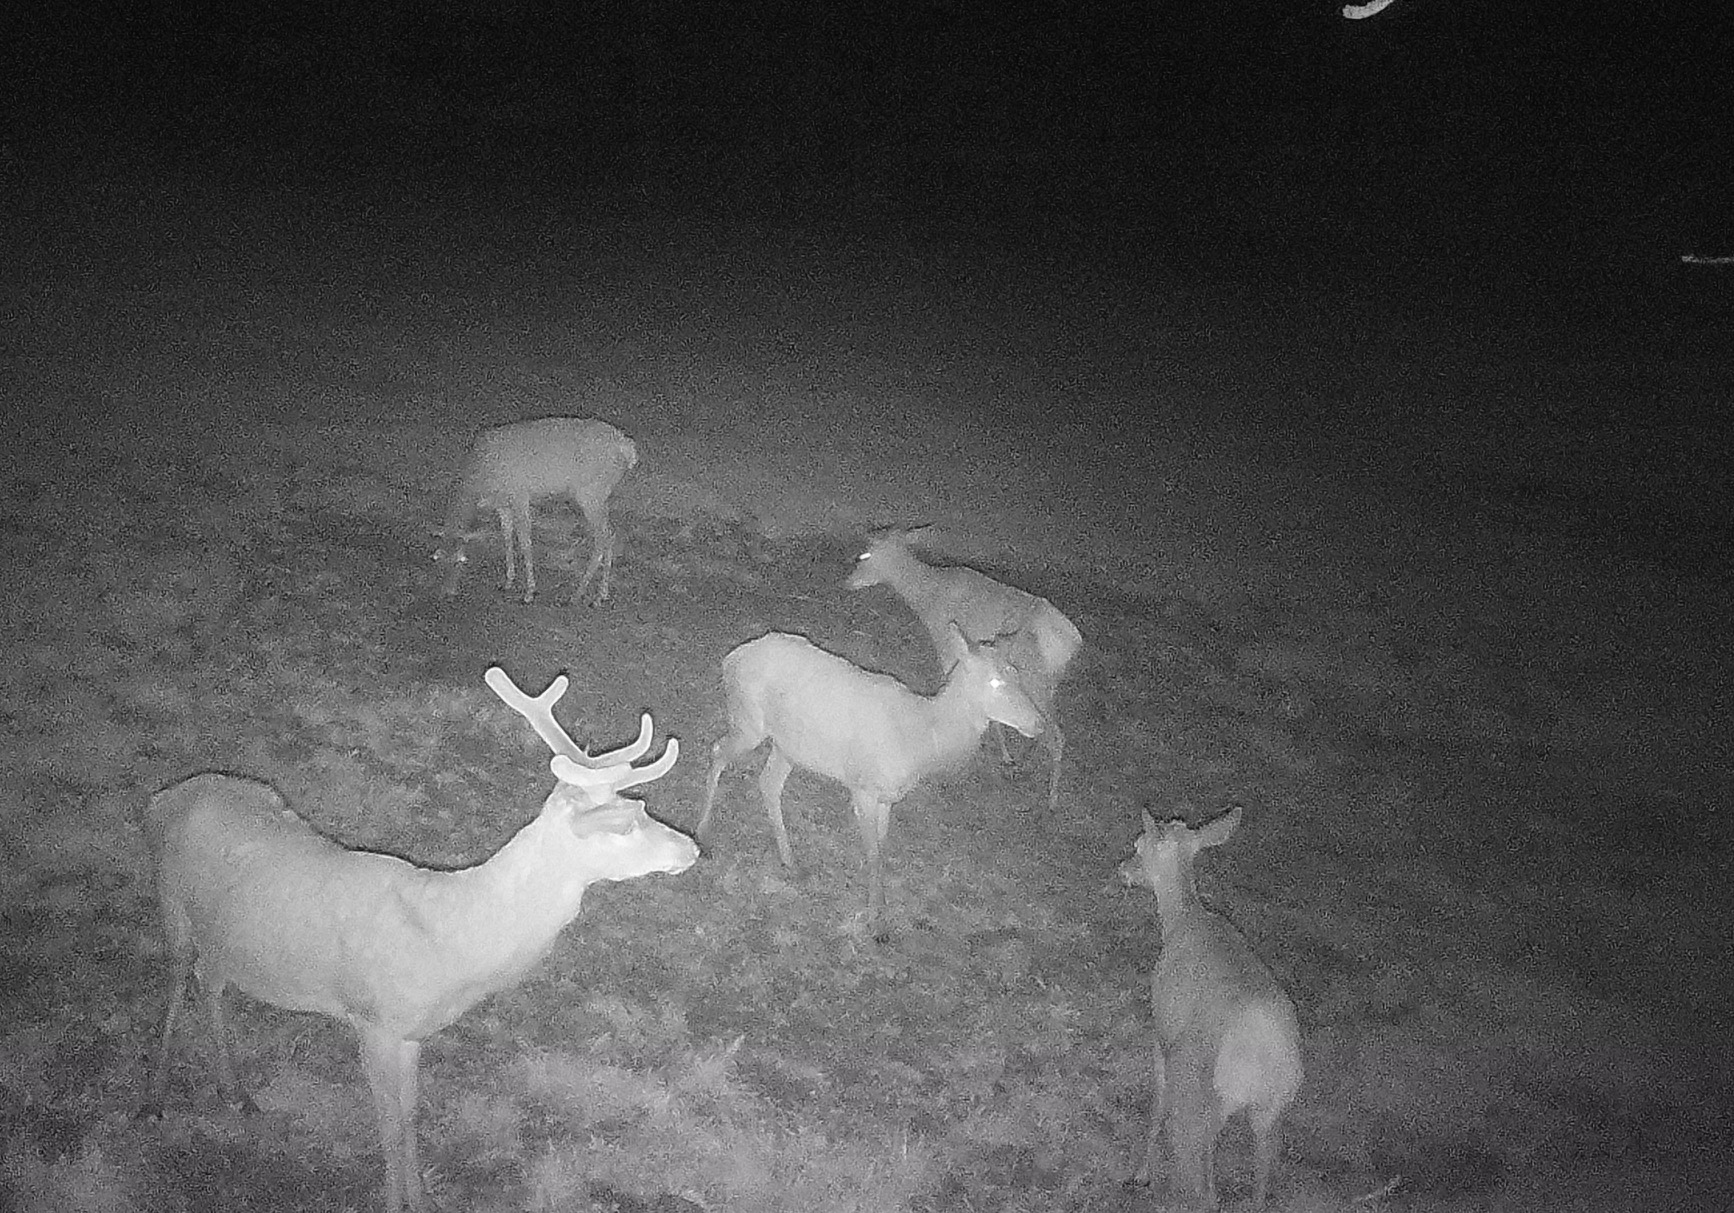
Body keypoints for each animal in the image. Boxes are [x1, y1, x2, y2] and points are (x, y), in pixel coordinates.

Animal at [139, 667, 694, 1213]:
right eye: (626, 822)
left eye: (641, 806)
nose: (691, 847)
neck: (447, 943)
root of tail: (165, 796)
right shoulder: (373, 1020)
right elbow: (389, 1128)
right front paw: (393, 1199)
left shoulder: (411, 1034)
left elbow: (409, 1120)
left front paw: (420, 1199)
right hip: (172, 902)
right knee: (177, 981)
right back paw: (155, 1099)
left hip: (225, 936)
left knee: (209, 982)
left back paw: (235, 1093)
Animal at [433, 417, 638, 607]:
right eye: (439, 562)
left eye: (460, 562)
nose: (447, 592)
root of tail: (628, 448)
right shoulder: (503, 504)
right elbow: (506, 537)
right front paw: (508, 581)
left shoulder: (520, 495)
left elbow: (525, 542)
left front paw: (529, 592)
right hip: (601, 495)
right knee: (610, 534)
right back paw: (601, 594)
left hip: (590, 492)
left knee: (602, 537)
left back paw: (581, 594)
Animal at [697, 626, 1044, 932]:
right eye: (995, 681)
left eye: (1017, 673)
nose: (1039, 723)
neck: (921, 740)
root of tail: (730, 658)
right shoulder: (862, 786)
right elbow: (874, 854)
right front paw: (876, 924)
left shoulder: (889, 797)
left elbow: (882, 847)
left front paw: (878, 909)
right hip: (748, 720)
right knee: (717, 751)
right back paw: (702, 835)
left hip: (789, 745)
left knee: (768, 783)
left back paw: (790, 861)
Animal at [845, 526, 1081, 813]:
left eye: (865, 555)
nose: (848, 582)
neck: (927, 597)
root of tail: (1072, 643)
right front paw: (1006, 756)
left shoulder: (947, 647)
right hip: (1047, 684)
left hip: (1038, 681)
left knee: (1057, 736)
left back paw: (1052, 801)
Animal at [1118, 806, 1303, 1211]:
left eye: (1140, 844)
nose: (1122, 868)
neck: (1182, 920)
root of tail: (1266, 1058)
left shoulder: (1161, 1033)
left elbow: (1157, 1102)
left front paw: (1140, 1173)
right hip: (1272, 1112)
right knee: (1262, 1185)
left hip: (1204, 1097)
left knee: (1203, 1185)